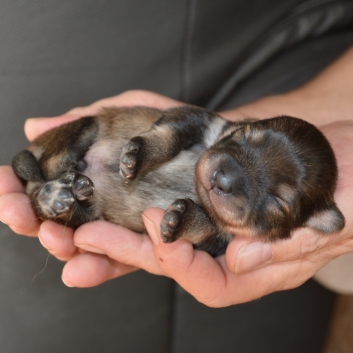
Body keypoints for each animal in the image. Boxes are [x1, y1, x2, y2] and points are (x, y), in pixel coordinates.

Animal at [11, 104, 344, 256]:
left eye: (277, 200)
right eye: (246, 135)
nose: (223, 177)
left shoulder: (217, 243)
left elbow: (204, 226)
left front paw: (180, 219)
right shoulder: (195, 118)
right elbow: (170, 136)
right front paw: (136, 156)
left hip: (88, 216)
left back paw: (64, 194)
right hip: (82, 127)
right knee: (48, 165)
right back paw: (66, 176)